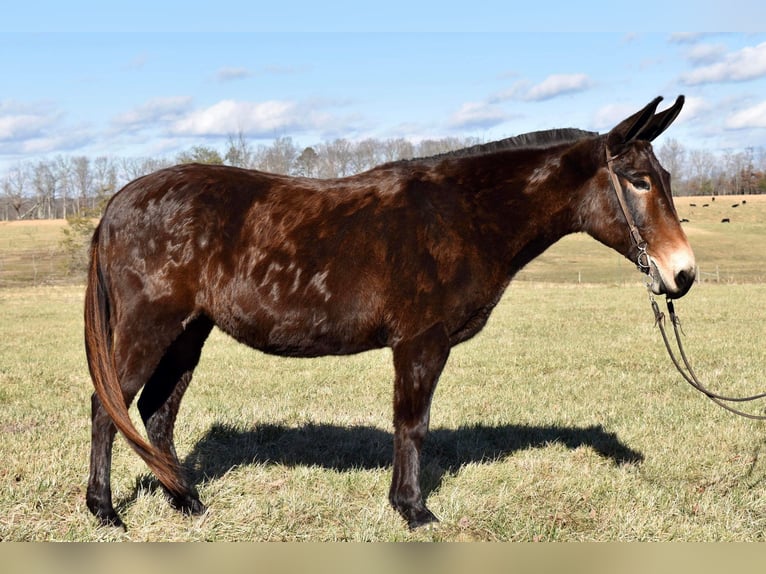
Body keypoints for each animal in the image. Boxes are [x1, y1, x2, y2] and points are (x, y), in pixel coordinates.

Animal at [82, 94, 696, 532]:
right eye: (639, 181)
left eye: (665, 179)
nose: (682, 274)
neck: (463, 215)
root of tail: (117, 203)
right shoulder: (421, 342)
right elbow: (413, 424)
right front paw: (413, 510)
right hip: (150, 326)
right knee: (108, 407)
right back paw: (105, 510)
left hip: (189, 331)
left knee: (158, 412)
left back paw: (186, 500)